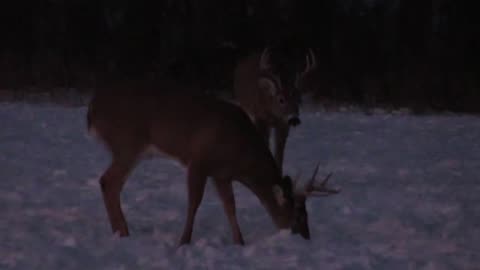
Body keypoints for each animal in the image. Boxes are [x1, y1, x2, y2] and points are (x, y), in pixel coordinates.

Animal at [88, 83, 340, 246]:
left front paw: (240, 242)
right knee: (108, 181)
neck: (241, 150)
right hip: (127, 144)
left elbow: (230, 206)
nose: (306, 239)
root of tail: (91, 112)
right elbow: (194, 203)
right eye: (298, 215)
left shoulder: (222, 174)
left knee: (109, 183)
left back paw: (121, 231)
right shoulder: (199, 161)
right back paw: (123, 233)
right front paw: (184, 241)